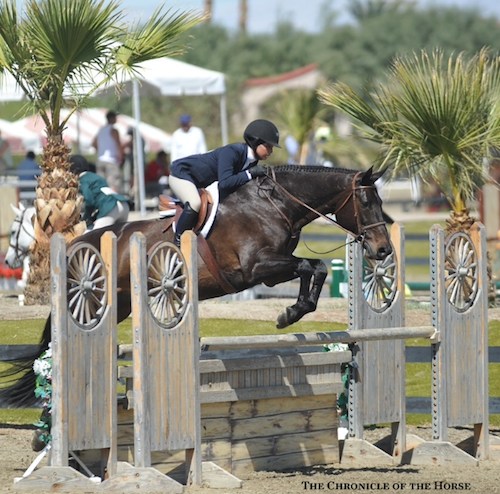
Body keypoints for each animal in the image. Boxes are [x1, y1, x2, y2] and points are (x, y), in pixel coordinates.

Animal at [0, 165, 392, 406]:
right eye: (366, 201)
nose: (383, 250)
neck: (275, 204)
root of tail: (78, 243)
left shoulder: (271, 270)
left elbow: (315, 268)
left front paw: (295, 311)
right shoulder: (256, 268)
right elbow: (312, 265)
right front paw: (289, 314)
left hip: (119, 304)